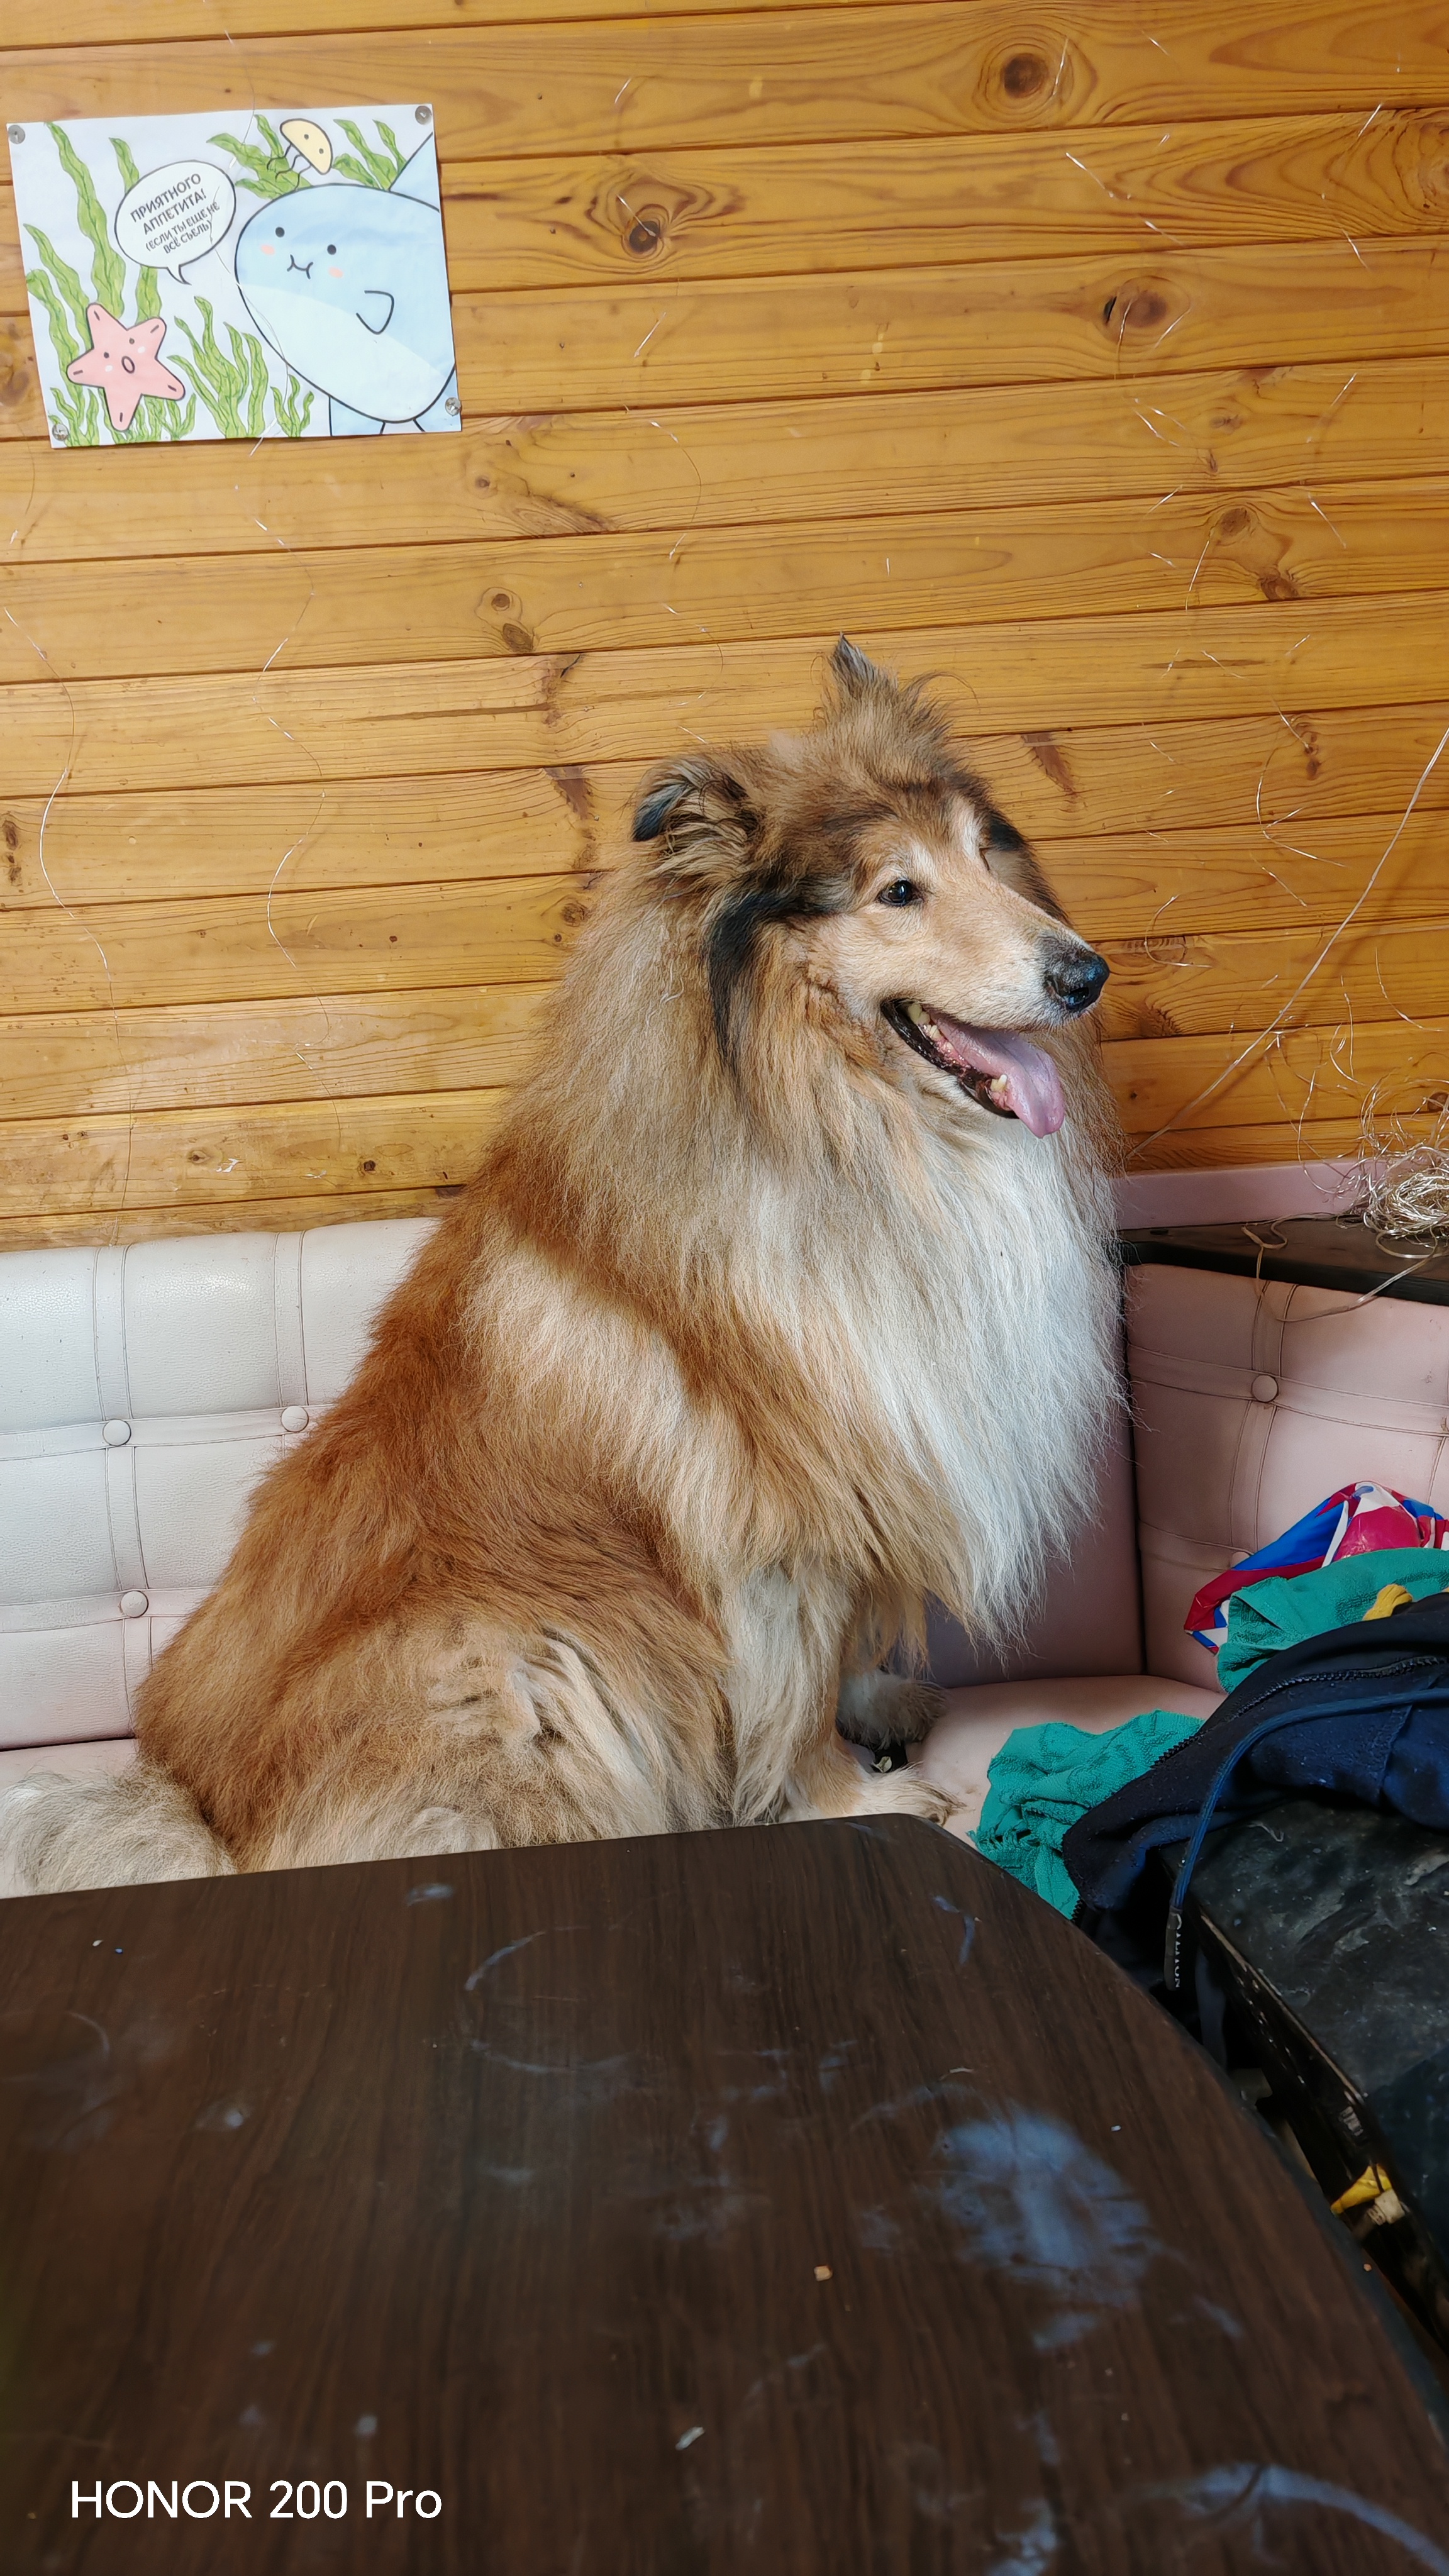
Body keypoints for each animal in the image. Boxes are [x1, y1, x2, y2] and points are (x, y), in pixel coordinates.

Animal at [2, 641, 1120, 1894]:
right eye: (896, 892)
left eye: (986, 855)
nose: (1086, 974)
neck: (836, 1124)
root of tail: (204, 1824)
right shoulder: (769, 1519)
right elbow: (791, 1690)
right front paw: (848, 1798)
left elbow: (840, 1655)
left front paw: (877, 1703)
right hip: (524, 1663)